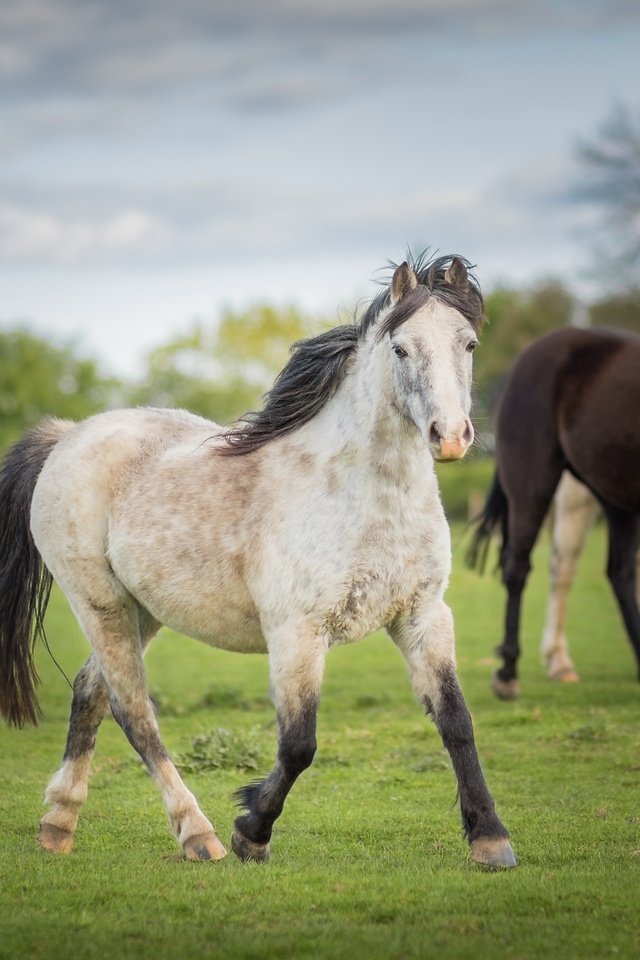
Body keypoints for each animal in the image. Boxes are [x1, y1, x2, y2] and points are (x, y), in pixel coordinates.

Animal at [0, 255, 516, 872]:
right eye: (401, 349)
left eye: (468, 343)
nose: (451, 436)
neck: (367, 498)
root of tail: (68, 437)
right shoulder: (297, 633)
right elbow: (298, 744)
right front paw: (252, 830)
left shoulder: (423, 618)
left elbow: (457, 722)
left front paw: (491, 839)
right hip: (99, 604)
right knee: (134, 712)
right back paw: (199, 835)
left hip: (141, 610)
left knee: (90, 692)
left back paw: (58, 824)